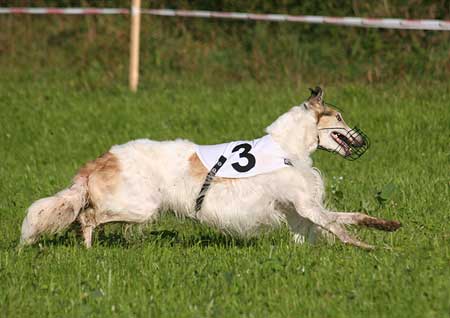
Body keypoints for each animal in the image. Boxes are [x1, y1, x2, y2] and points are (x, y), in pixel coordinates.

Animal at [21, 86, 400, 248]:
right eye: (339, 116)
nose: (362, 139)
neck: (286, 146)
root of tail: (102, 159)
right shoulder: (306, 205)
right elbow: (339, 227)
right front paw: (368, 247)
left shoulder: (300, 210)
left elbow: (351, 217)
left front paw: (389, 225)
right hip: (140, 207)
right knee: (86, 217)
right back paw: (87, 249)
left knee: (82, 216)